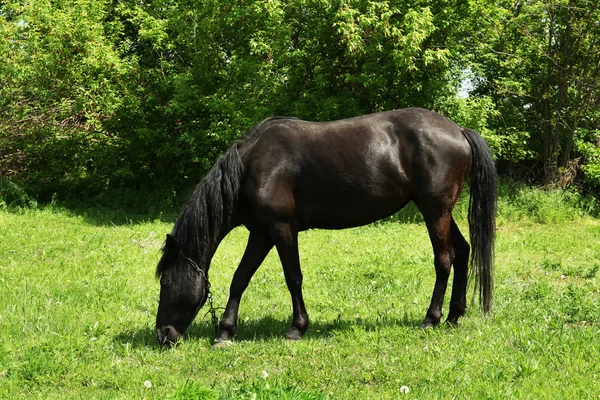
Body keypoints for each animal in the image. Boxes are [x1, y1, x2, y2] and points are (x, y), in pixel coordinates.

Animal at [155, 108, 496, 346]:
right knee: (463, 251)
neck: (252, 166)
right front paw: (225, 332)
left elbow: (293, 277)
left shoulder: (281, 229)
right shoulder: (261, 233)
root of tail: (459, 130)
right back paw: (454, 316)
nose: (163, 334)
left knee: (444, 259)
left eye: (166, 282)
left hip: (434, 211)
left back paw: (431, 319)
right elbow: (240, 279)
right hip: (441, 211)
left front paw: (296, 328)